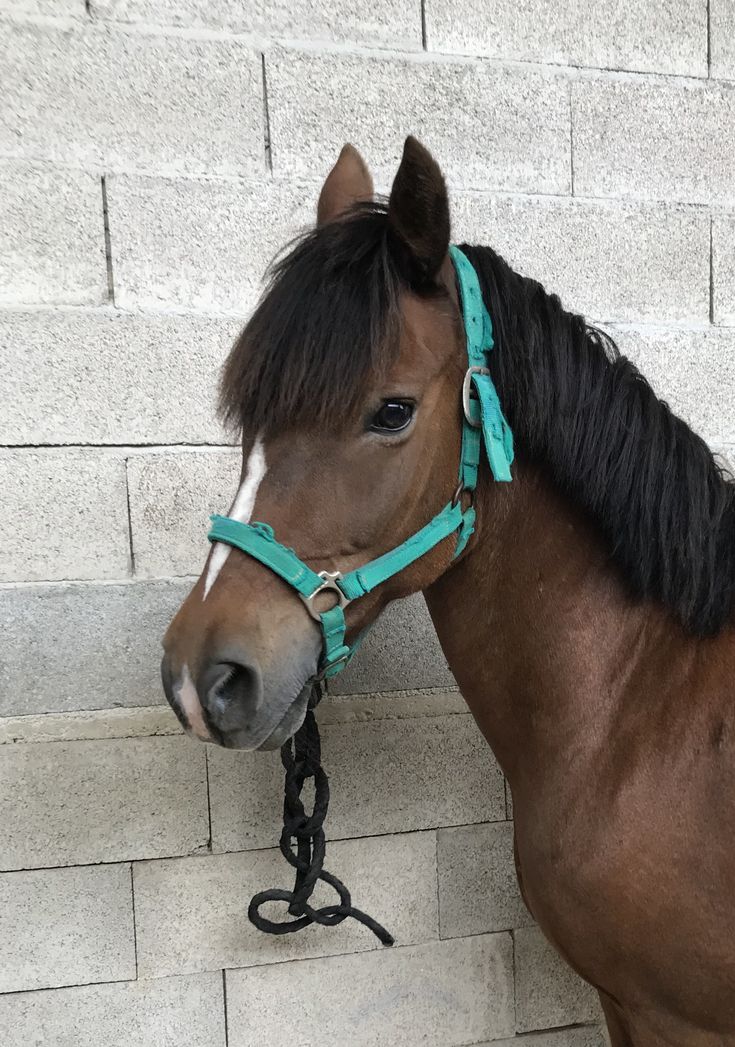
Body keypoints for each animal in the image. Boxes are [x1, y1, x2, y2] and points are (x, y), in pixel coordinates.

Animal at [164, 139, 735, 1047]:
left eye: (391, 411)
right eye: (250, 414)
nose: (203, 675)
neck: (650, 710)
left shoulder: (676, 1017)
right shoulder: (621, 1004)